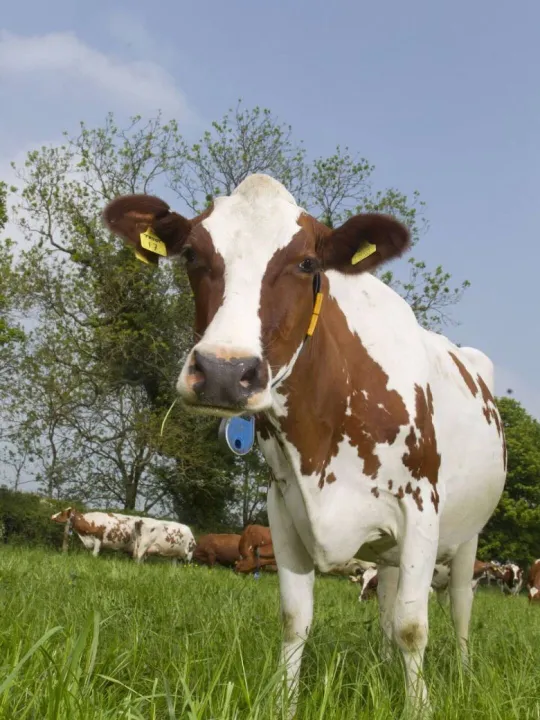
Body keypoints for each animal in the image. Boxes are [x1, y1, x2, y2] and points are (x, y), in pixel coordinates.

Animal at [103, 173, 507, 715]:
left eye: (307, 263)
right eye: (191, 253)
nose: (225, 372)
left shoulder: (420, 506)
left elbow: (413, 626)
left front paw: (419, 706)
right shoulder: (283, 505)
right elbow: (296, 620)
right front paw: (283, 704)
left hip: (466, 536)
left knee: (459, 604)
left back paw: (462, 673)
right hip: (388, 548)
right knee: (387, 594)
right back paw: (382, 667)